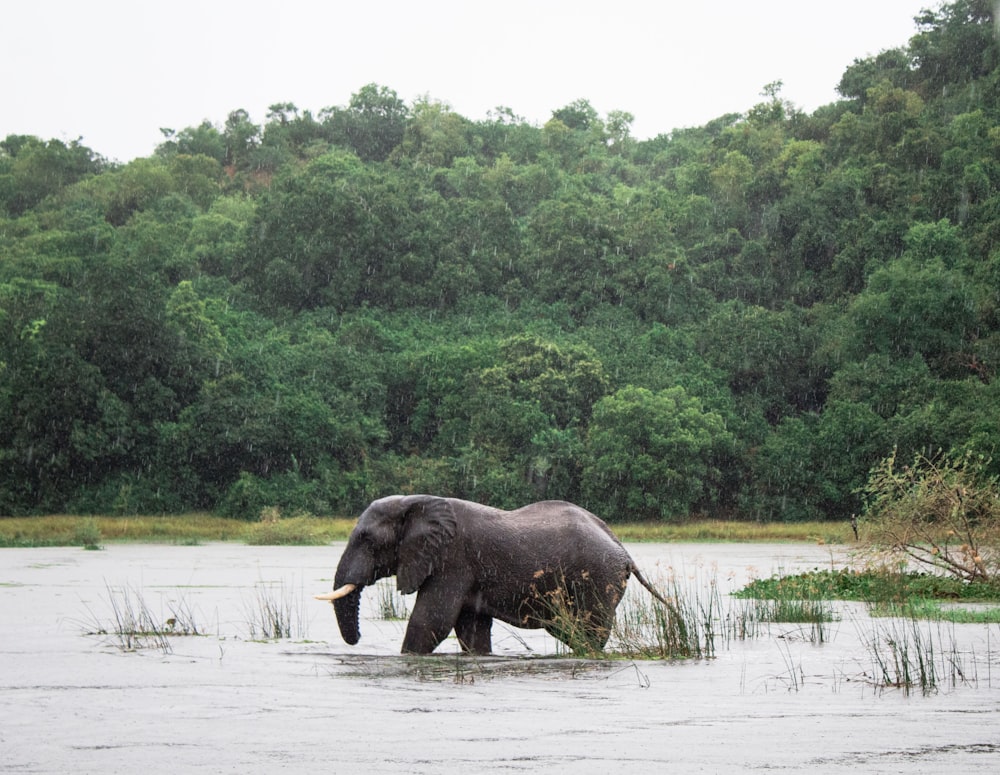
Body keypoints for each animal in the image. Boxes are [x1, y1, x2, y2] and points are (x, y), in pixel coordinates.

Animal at [316, 498, 668, 656]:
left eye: (366, 539)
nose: (356, 642)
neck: (415, 503)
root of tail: (624, 549)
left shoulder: (452, 561)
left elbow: (431, 621)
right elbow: (470, 629)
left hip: (597, 579)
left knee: (587, 631)